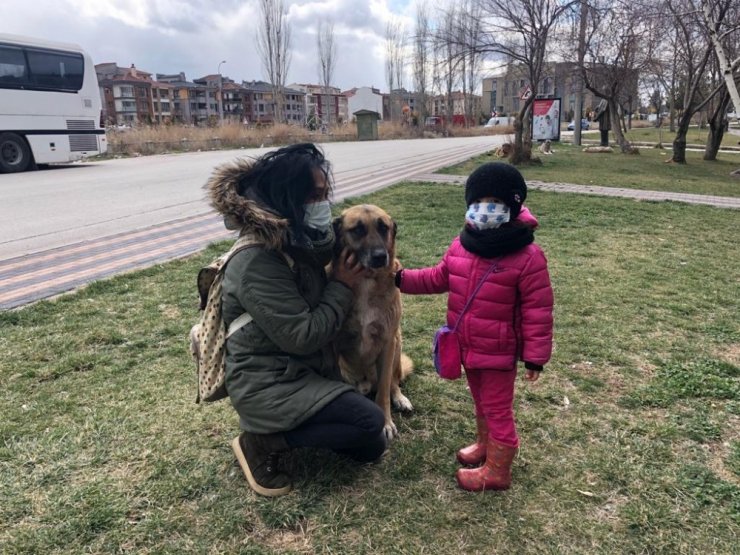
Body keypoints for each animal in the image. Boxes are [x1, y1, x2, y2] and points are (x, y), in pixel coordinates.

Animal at [330, 204, 414, 438]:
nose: (379, 256)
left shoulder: (387, 342)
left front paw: (386, 422)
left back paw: (400, 398)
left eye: (383, 227)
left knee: (393, 382)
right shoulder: (334, 344)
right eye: (357, 229)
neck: (367, 279)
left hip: (397, 343)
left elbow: (384, 390)